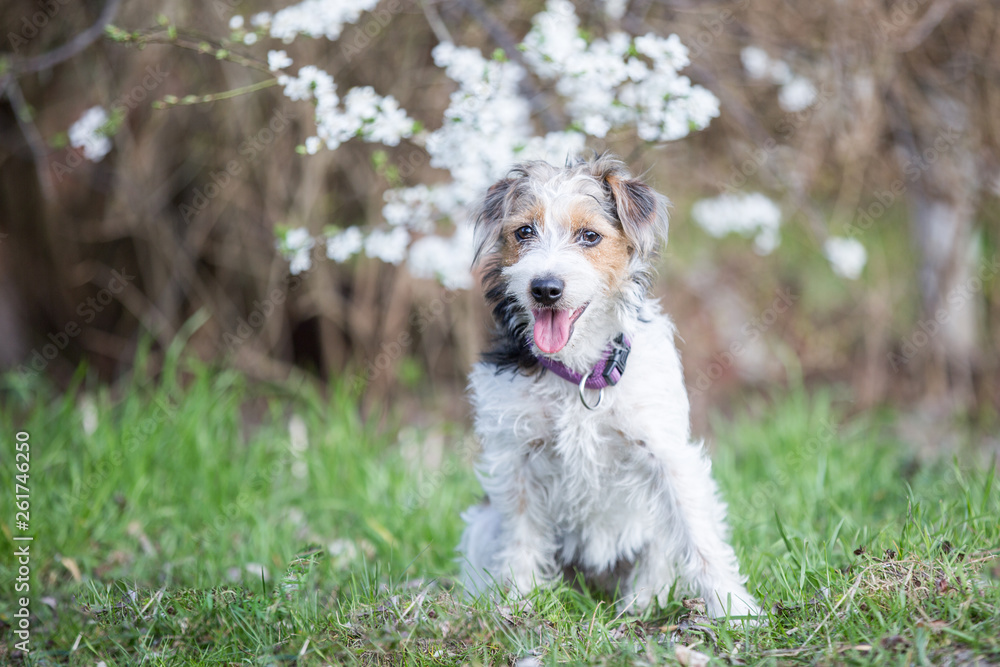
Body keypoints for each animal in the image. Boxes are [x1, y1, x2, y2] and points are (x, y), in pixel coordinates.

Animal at [458, 154, 756, 624]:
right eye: (524, 232)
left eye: (590, 236)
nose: (544, 288)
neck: (579, 370)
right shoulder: (516, 462)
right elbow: (522, 539)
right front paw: (519, 603)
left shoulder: (666, 454)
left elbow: (698, 537)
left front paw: (734, 607)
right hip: (482, 520)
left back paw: (643, 602)